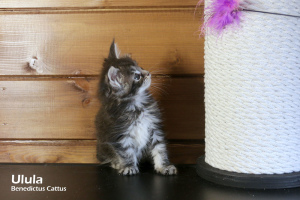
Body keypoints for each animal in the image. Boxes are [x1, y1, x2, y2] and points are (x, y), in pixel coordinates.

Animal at [95, 40, 177, 175]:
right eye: (137, 77)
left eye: (141, 67)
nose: (148, 73)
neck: (136, 104)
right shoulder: (120, 134)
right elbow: (126, 153)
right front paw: (128, 167)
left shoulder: (154, 127)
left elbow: (160, 148)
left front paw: (164, 166)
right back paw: (117, 164)